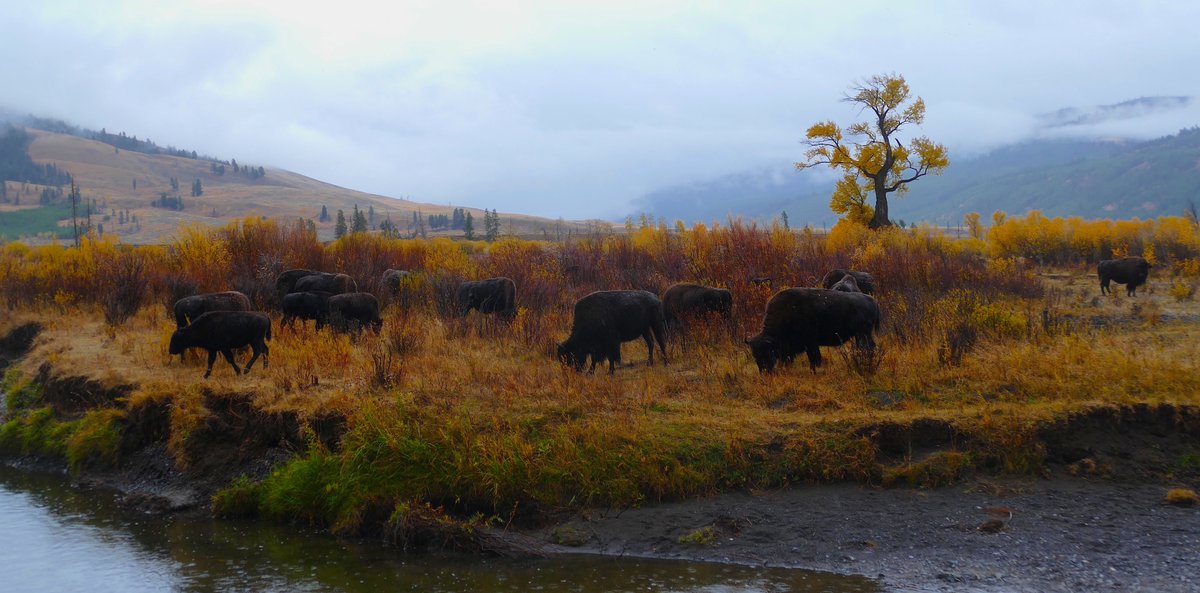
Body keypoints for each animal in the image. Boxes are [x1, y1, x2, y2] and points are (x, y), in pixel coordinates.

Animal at [748, 285, 883, 372]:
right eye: (754, 354)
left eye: (767, 351)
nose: (764, 371)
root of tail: (873, 301)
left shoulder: (811, 344)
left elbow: (814, 358)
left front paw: (814, 369)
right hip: (861, 335)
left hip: (863, 334)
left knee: (868, 347)